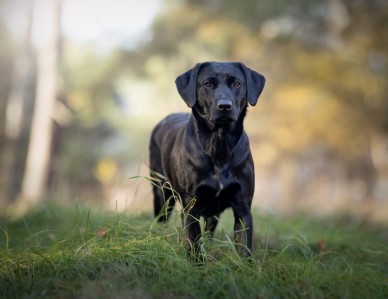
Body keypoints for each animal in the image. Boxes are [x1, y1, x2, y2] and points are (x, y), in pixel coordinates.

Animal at [148, 61, 264, 260]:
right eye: (208, 84)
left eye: (236, 83)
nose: (224, 106)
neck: (219, 145)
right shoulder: (191, 207)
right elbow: (193, 244)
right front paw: (196, 264)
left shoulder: (243, 208)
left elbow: (244, 248)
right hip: (161, 190)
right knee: (161, 218)